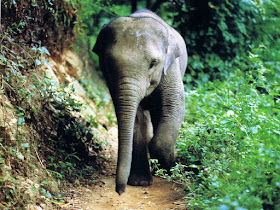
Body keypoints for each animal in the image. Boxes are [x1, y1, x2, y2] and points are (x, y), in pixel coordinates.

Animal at [93, 9, 187, 194]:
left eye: (153, 63)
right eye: (107, 63)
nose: (119, 191)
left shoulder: (171, 68)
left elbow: (174, 105)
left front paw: (174, 171)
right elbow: (135, 116)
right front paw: (140, 182)